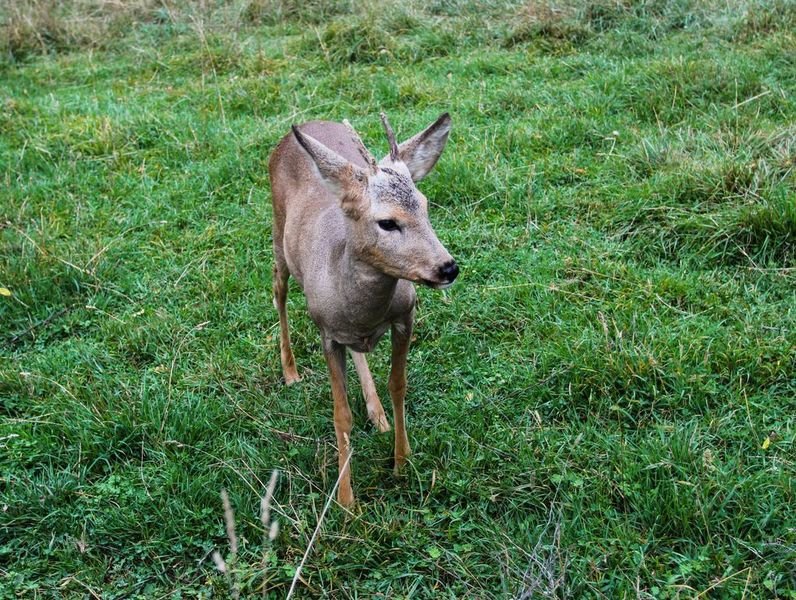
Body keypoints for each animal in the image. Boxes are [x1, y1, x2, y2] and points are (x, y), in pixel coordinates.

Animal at [268, 111, 458, 506]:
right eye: (387, 222)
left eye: (425, 205)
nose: (448, 268)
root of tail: (305, 125)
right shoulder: (326, 334)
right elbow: (340, 415)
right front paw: (346, 501)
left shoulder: (405, 317)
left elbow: (398, 385)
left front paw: (402, 462)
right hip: (278, 233)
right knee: (278, 289)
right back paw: (290, 372)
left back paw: (378, 415)